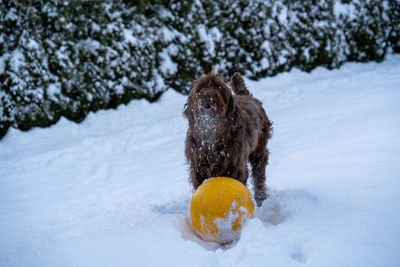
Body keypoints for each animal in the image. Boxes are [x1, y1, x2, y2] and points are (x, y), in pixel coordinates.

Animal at [184, 71, 272, 207]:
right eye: (200, 88)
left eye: (218, 87)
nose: (207, 95)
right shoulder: (198, 168)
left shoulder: (235, 167)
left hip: (259, 149)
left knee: (259, 175)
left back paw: (260, 198)